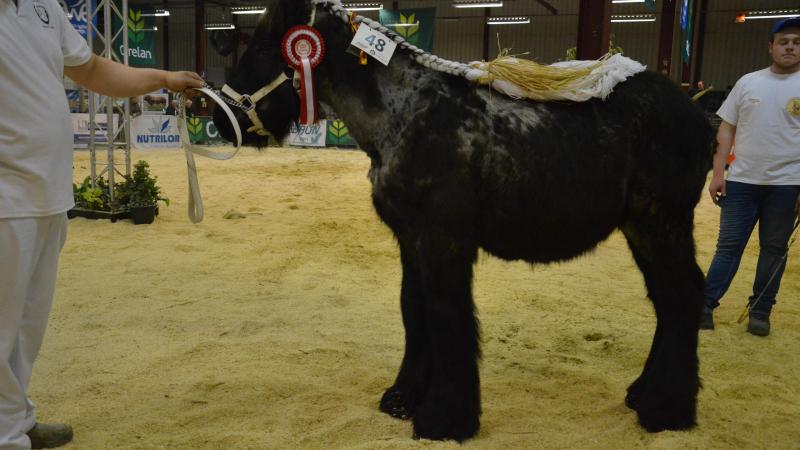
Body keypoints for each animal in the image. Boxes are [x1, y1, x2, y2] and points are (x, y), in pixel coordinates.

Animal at [212, 0, 712, 442]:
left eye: (261, 49)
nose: (219, 116)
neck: (407, 112)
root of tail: (696, 111)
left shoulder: (443, 239)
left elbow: (447, 315)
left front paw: (445, 418)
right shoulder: (410, 240)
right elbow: (414, 312)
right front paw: (403, 397)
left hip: (660, 222)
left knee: (684, 295)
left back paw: (667, 409)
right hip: (641, 229)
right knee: (668, 302)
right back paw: (645, 393)